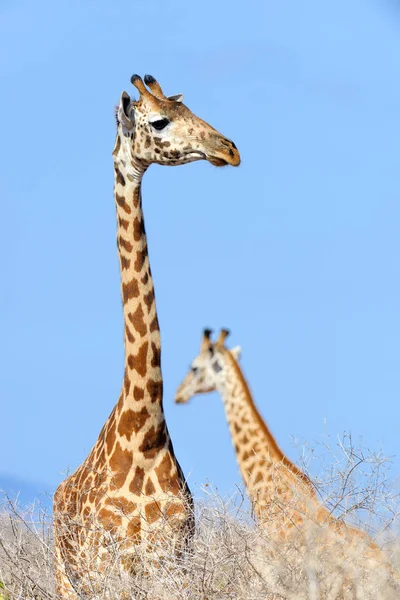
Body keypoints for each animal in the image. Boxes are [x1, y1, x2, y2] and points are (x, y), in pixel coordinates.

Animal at [53, 77, 241, 596]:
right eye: (158, 121)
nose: (229, 149)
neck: (145, 428)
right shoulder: (107, 570)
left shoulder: (172, 562)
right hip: (65, 578)